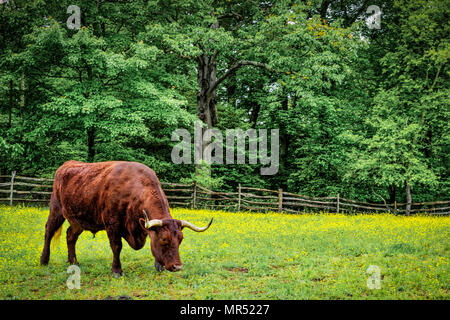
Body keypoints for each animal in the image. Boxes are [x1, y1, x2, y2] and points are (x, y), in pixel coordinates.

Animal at [40, 161, 213, 276]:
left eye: (181, 239)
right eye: (164, 239)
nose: (177, 267)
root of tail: (66, 165)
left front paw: (158, 265)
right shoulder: (112, 224)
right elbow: (116, 247)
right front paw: (117, 270)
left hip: (78, 220)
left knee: (71, 236)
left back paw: (73, 261)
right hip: (56, 209)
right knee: (49, 231)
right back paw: (44, 260)